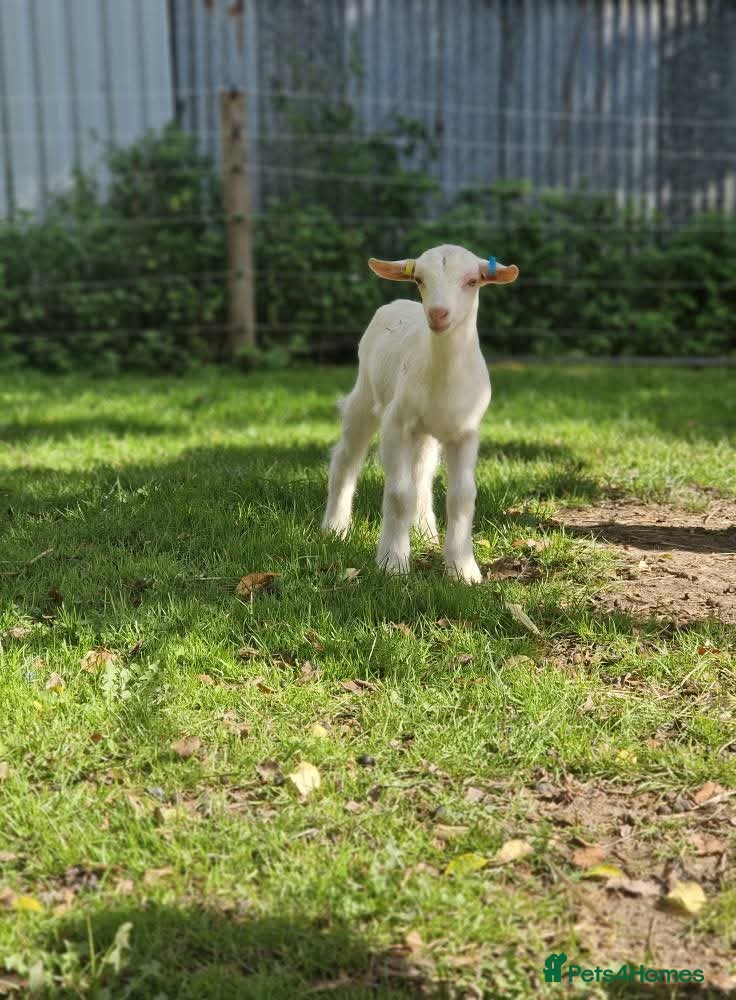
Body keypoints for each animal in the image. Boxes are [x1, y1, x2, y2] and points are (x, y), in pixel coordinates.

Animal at [322, 244, 519, 582]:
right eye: (419, 280)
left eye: (472, 281)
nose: (438, 314)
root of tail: (399, 304)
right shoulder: (397, 423)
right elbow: (399, 494)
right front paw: (393, 562)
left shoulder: (465, 433)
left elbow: (462, 497)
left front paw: (463, 569)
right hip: (366, 396)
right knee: (346, 458)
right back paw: (334, 527)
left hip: (426, 432)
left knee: (422, 471)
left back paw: (425, 531)